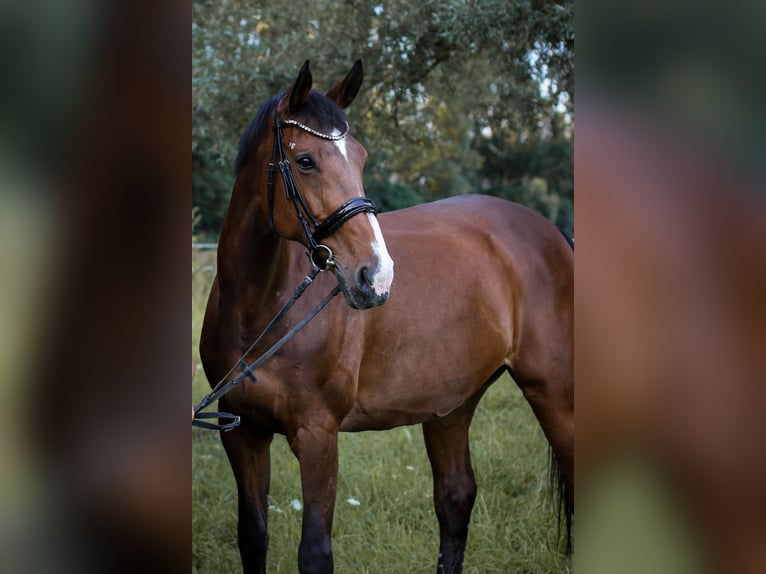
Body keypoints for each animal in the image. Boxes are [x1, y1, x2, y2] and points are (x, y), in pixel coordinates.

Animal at [199, 60, 573, 574]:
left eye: (360, 158)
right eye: (306, 161)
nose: (375, 275)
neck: (259, 312)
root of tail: (552, 233)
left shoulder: (317, 435)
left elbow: (314, 552)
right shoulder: (241, 433)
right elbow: (252, 537)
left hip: (553, 391)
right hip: (452, 406)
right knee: (455, 500)